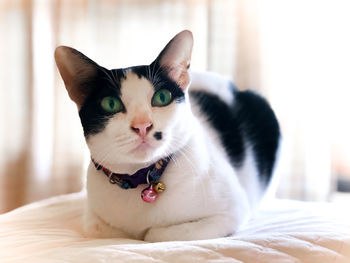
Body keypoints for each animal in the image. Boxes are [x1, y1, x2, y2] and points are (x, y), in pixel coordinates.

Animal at [54, 29, 278, 242]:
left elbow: (155, 234)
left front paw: (147, 232)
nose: (142, 126)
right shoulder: (93, 219)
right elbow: (106, 230)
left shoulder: (231, 211)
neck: (139, 178)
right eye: (110, 104)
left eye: (162, 97)